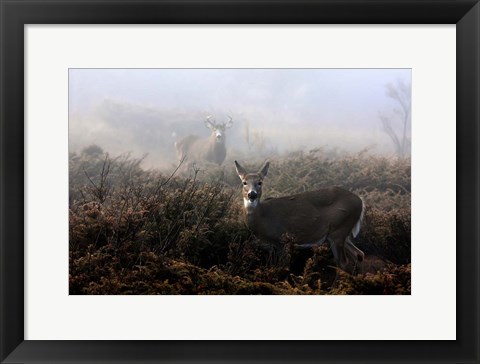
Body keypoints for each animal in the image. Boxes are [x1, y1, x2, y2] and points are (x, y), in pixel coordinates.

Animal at [234, 161, 366, 274]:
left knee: (343, 263)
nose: (252, 194)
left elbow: (283, 268)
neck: (263, 217)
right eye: (244, 182)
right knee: (359, 254)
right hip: (341, 234)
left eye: (260, 182)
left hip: (338, 230)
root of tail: (360, 201)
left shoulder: (283, 241)